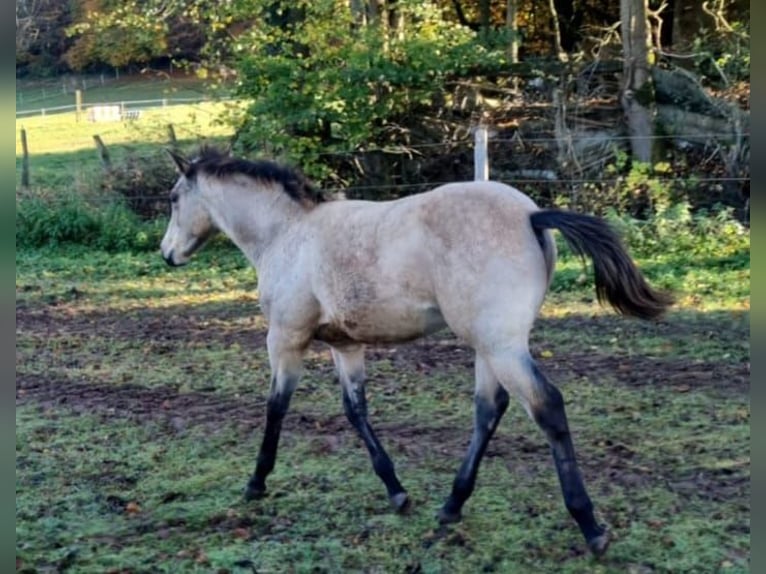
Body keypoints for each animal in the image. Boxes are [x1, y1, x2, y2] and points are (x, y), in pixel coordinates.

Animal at [160, 147, 672, 560]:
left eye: (173, 197)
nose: (167, 254)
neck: (288, 232)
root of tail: (532, 216)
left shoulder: (285, 337)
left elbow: (275, 407)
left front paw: (256, 483)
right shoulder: (346, 345)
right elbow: (356, 410)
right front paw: (396, 491)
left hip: (502, 346)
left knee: (545, 405)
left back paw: (590, 526)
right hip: (488, 346)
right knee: (489, 408)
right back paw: (451, 506)